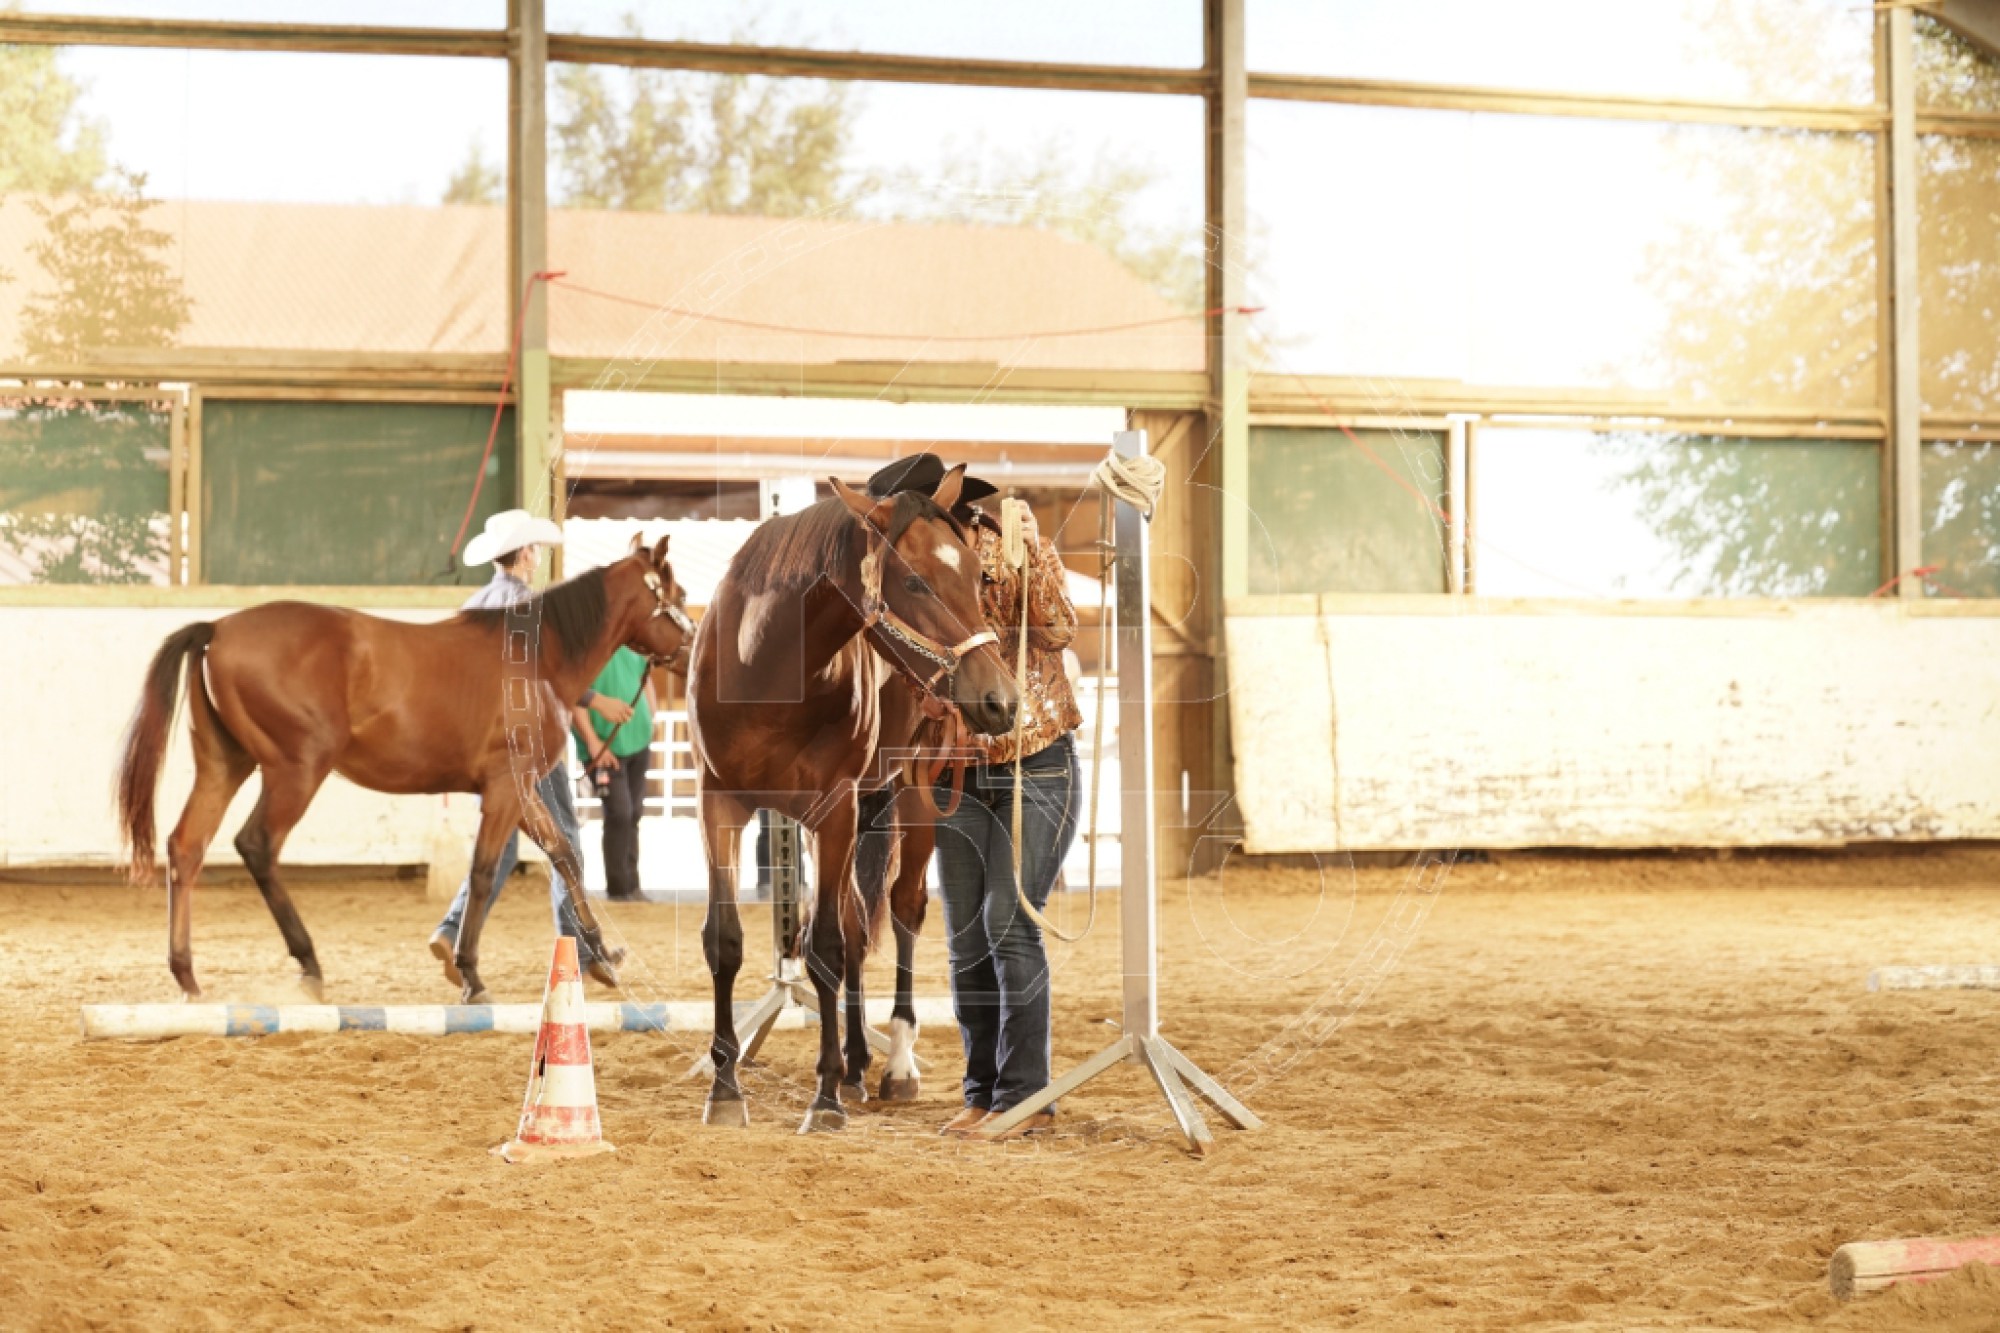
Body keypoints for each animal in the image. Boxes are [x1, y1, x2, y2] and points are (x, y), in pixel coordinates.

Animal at [115, 534, 693, 1005]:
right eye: (680, 593)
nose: (694, 651)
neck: (537, 660)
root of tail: (218, 628)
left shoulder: (522, 790)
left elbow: (566, 857)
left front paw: (604, 956)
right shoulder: (505, 790)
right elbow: (484, 872)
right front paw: (470, 973)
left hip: (225, 763)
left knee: (186, 847)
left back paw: (187, 976)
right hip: (296, 770)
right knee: (256, 845)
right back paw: (309, 965)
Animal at [688, 467, 1017, 1132]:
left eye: (980, 575)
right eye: (914, 580)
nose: (1001, 699)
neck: (766, 668)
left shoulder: (833, 810)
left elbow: (825, 949)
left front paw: (825, 1096)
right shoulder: (719, 805)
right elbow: (727, 941)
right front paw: (726, 1087)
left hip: (913, 798)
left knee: (902, 910)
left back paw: (893, 1065)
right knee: (859, 924)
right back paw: (859, 1061)